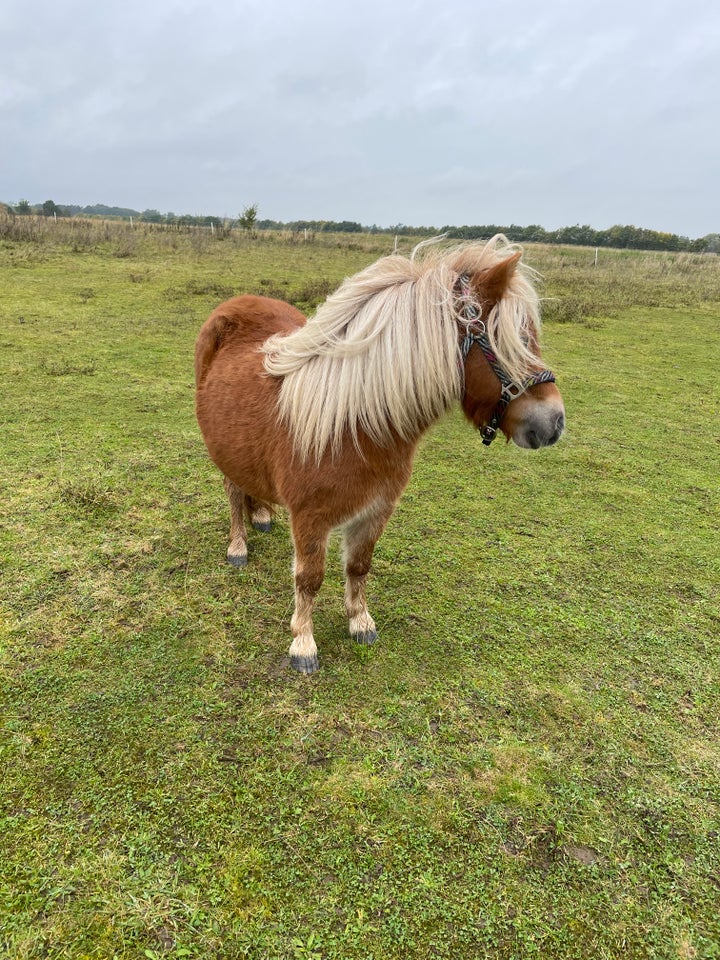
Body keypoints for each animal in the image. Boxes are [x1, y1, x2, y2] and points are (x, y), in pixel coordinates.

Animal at [195, 238, 564, 676]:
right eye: (513, 339)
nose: (555, 422)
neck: (353, 424)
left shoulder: (376, 510)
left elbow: (358, 566)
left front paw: (360, 622)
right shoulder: (309, 519)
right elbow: (309, 579)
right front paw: (303, 644)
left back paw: (264, 515)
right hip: (222, 451)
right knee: (234, 492)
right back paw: (238, 545)